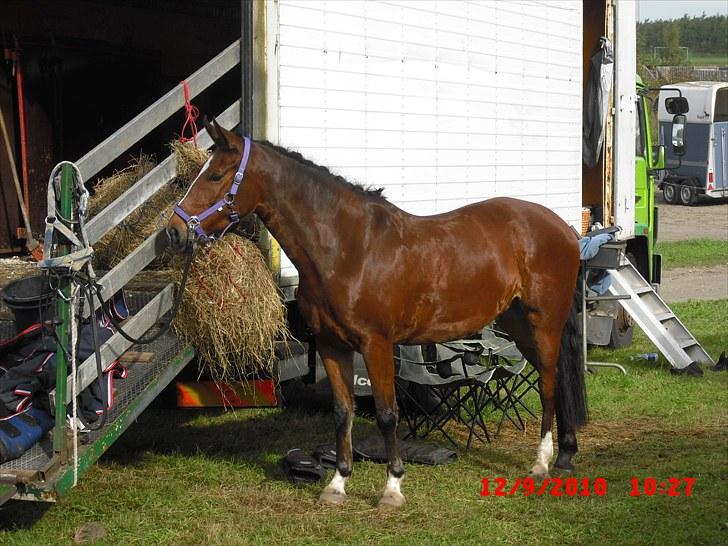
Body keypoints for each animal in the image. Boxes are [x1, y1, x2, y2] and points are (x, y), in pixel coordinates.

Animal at [168, 118, 588, 506]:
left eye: (216, 175)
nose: (174, 231)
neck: (349, 247)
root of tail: (564, 228)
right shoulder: (331, 345)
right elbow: (343, 412)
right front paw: (337, 484)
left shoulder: (377, 344)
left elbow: (387, 414)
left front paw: (392, 488)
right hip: (517, 322)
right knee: (557, 378)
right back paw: (566, 455)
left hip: (543, 322)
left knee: (549, 384)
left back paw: (542, 462)